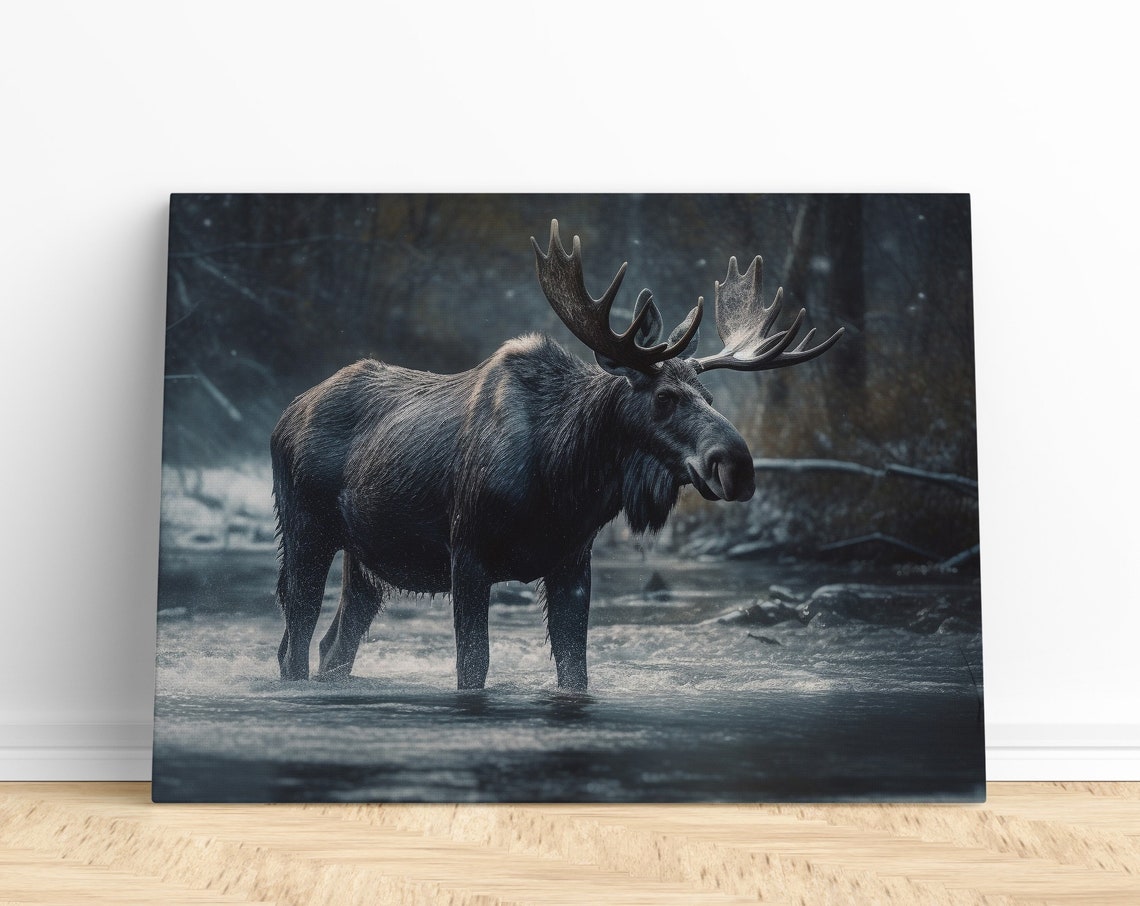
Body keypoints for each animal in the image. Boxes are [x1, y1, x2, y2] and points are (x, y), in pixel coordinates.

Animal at [271, 220, 842, 691]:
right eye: (664, 398)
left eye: (709, 397)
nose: (737, 466)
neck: (563, 479)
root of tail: (285, 416)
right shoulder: (467, 554)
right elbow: (472, 668)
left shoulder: (571, 560)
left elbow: (576, 671)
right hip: (305, 531)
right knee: (294, 640)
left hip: (367, 560)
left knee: (333, 644)